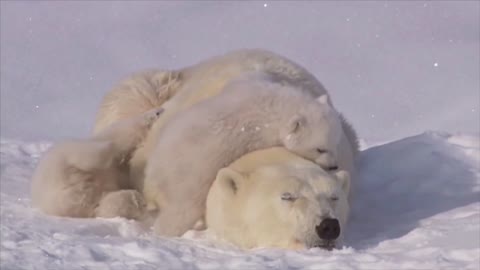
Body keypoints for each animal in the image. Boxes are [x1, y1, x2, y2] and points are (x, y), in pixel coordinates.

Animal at [143, 77, 344, 237]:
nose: (334, 166)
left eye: (335, 143)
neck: (276, 107)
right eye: (319, 149)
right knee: (182, 210)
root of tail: (155, 168)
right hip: (193, 176)